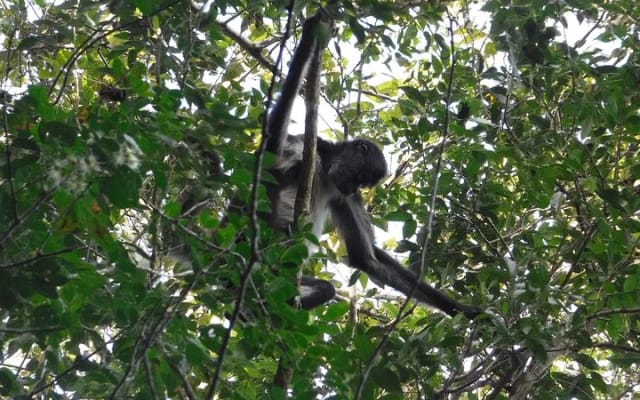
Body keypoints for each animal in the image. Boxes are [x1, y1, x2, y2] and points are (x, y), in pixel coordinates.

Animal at [261, 15, 482, 319]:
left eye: (363, 183)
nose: (353, 186)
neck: (324, 169)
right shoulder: (307, 148)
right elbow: (269, 161)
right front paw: (310, 38)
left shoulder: (343, 195)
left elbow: (367, 258)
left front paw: (462, 309)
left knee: (326, 287)